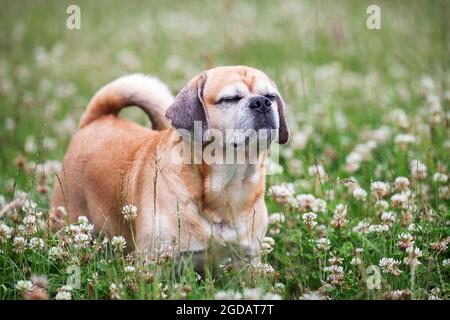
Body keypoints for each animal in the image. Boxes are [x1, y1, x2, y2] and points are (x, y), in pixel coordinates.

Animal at [48, 65, 288, 268]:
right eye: (230, 99)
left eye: (271, 97)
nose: (261, 102)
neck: (229, 186)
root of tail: (96, 120)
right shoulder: (154, 261)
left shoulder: (248, 261)